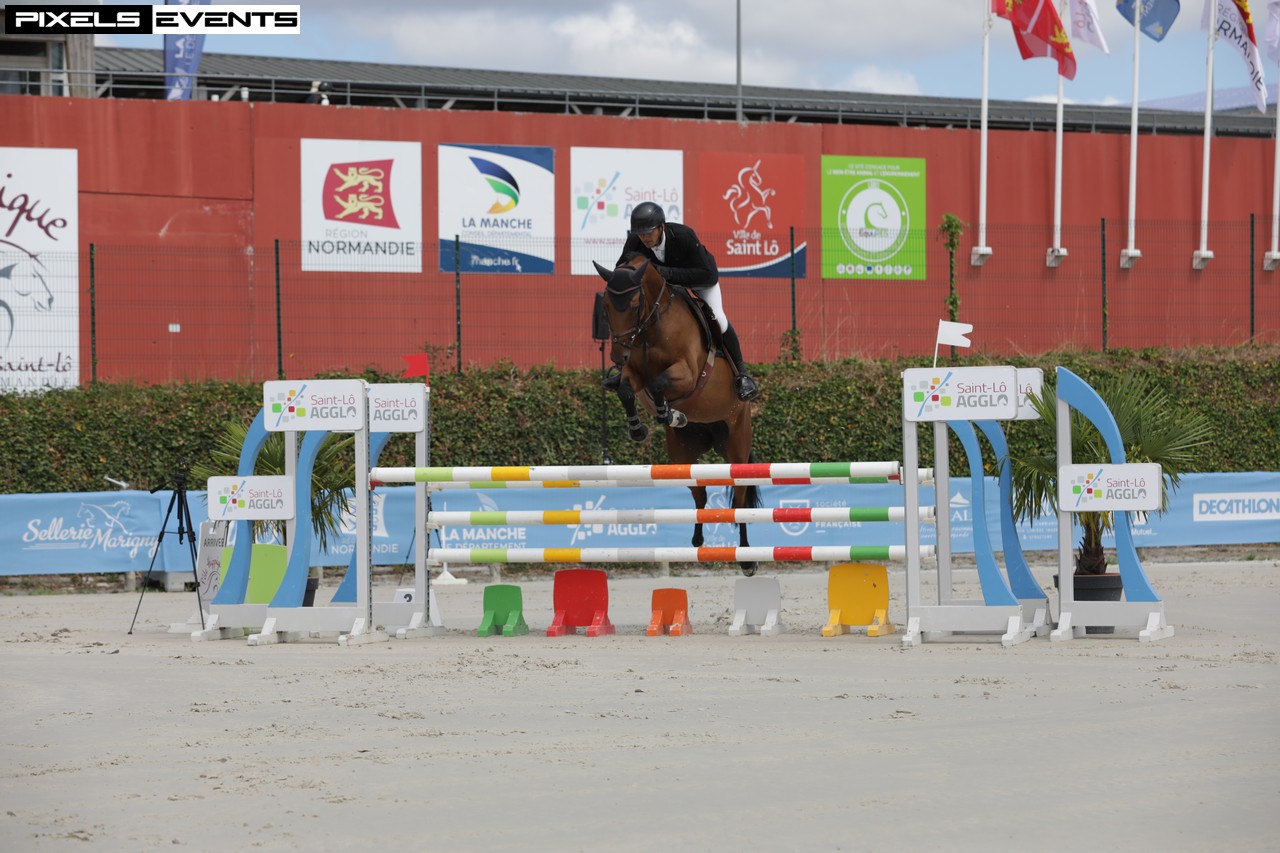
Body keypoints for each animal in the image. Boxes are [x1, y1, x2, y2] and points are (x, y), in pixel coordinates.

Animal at [592, 255, 760, 576]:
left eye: (634, 305)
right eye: (605, 305)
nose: (617, 356)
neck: (650, 328)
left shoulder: (687, 373)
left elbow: (660, 384)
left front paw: (668, 414)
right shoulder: (634, 374)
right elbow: (626, 389)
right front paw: (640, 428)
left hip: (736, 446)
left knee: (741, 499)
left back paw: (747, 559)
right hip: (683, 454)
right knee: (700, 493)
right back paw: (697, 540)